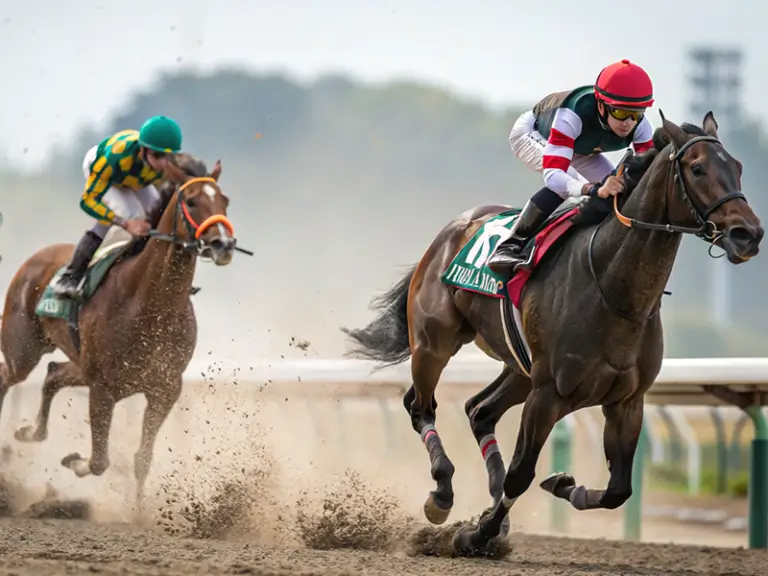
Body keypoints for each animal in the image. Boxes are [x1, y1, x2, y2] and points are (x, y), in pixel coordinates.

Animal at [0, 154, 239, 508]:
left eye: (225, 200)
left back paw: (31, 432)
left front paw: (138, 512)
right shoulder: (103, 388)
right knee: (9, 375)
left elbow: (143, 458)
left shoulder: (165, 388)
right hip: (24, 352)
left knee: (53, 372)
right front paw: (77, 461)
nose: (224, 243)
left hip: (80, 364)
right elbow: (100, 461)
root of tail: (36, 258)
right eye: (192, 201)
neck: (152, 305)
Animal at [341, 110, 763, 555]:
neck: (614, 290)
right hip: (435, 343)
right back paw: (442, 494)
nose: (748, 234)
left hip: (519, 368)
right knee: (421, 406)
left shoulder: (627, 401)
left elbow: (619, 489)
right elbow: (521, 474)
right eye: (697, 168)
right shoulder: (548, 396)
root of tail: (453, 229)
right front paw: (477, 533)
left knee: (478, 410)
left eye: (737, 167)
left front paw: (562, 485)